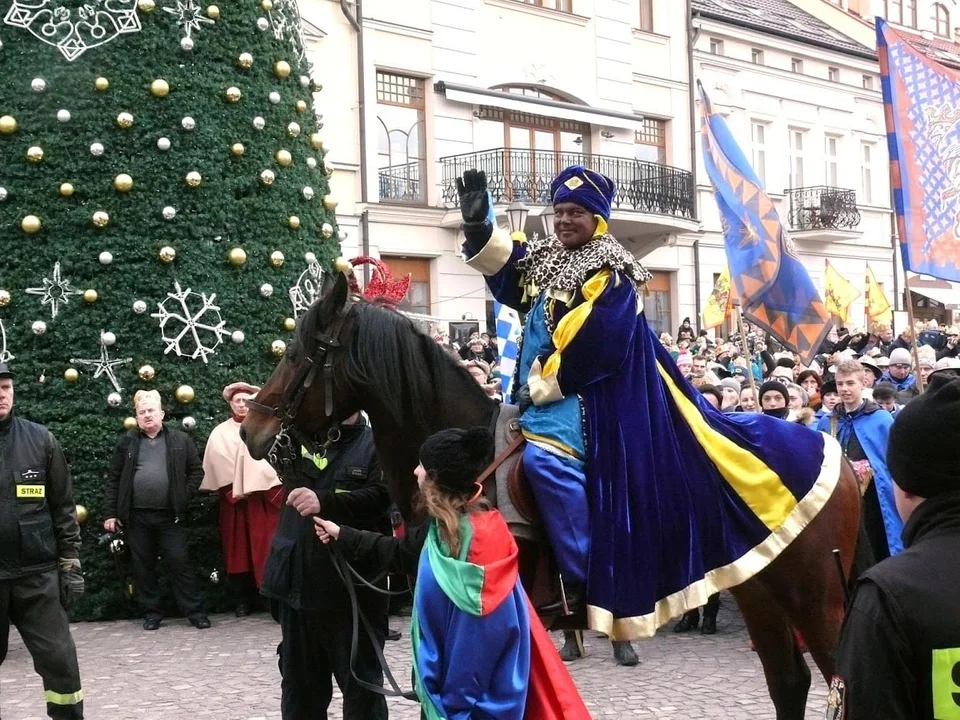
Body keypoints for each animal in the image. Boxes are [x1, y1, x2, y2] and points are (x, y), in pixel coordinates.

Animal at [240, 272, 864, 720]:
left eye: (296, 354)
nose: (251, 430)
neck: (462, 457)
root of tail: (838, 458)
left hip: (816, 599)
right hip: (760, 591)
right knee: (789, 685)